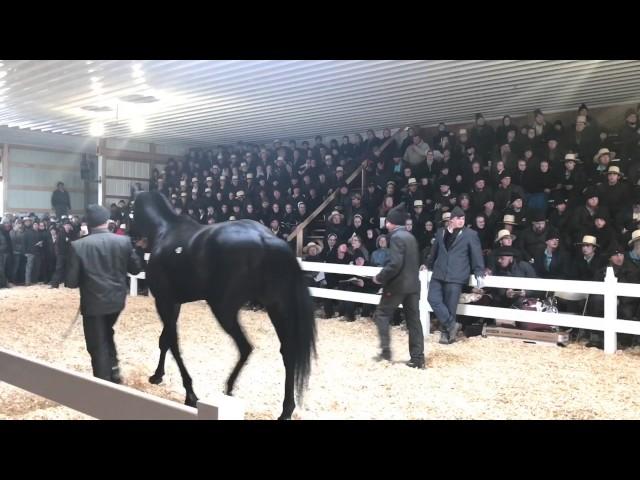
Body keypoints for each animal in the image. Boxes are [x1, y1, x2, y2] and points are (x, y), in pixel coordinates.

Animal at [133, 191, 318, 420]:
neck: (166, 231)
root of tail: (266, 240)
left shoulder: (164, 301)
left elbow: (173, 343)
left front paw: (190, 394)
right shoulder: (174, 304)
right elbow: (165, 341)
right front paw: (157, 376)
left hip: (223, 309)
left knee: (245, 347)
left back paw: (228, 389)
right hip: (277, 308)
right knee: (287, 352)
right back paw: (285, 410)